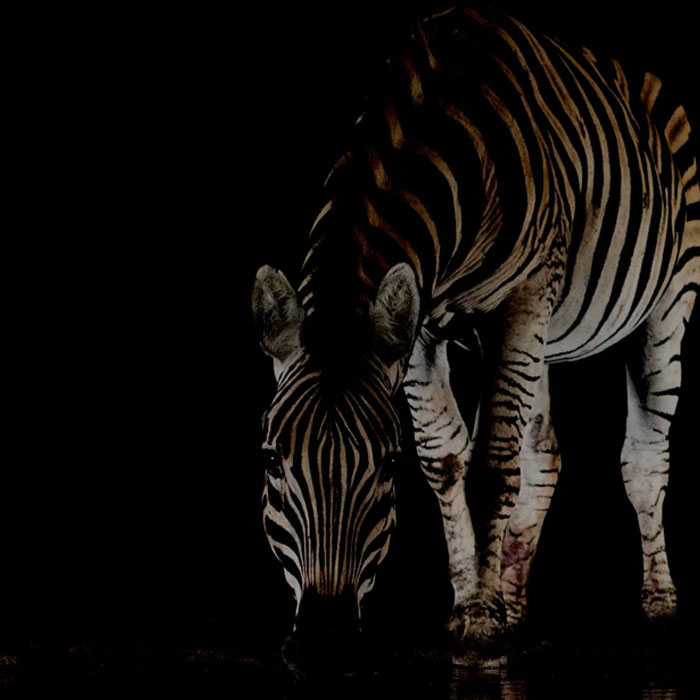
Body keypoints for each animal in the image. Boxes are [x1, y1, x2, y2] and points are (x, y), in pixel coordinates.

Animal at [251, 4, 699, 670]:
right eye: (273, 460)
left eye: (385, 465)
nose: (326, 643)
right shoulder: (420, 332)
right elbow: (446, 458)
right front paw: (473, 605)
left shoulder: (521, 299)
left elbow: (492, 462)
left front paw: (483, 624)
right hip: (545, 333)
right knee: (544, 453)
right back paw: (515, 606)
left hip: (669, 299)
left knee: (644, 457)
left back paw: (659, 606)